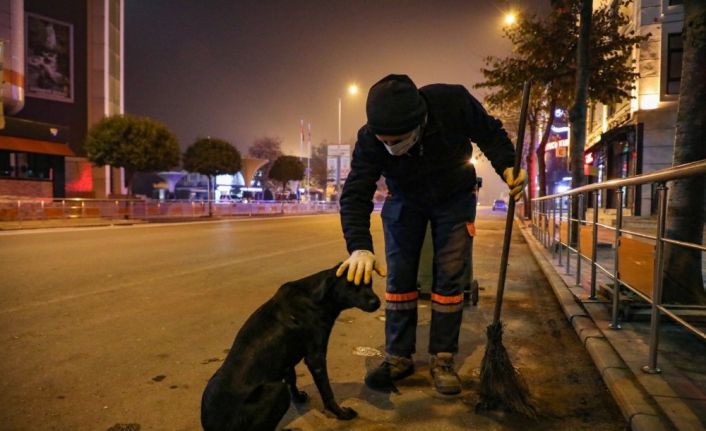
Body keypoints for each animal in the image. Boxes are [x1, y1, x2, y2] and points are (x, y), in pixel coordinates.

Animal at [198, 264, 380, 430]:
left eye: (369, 282)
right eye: (352, 286)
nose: (377, 302)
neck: (315, 298)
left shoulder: (287, 360)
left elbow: (292, 379)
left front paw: (298, 397)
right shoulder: (316, 358)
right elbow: (327, 391)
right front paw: (341, 413)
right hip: (277, 390)